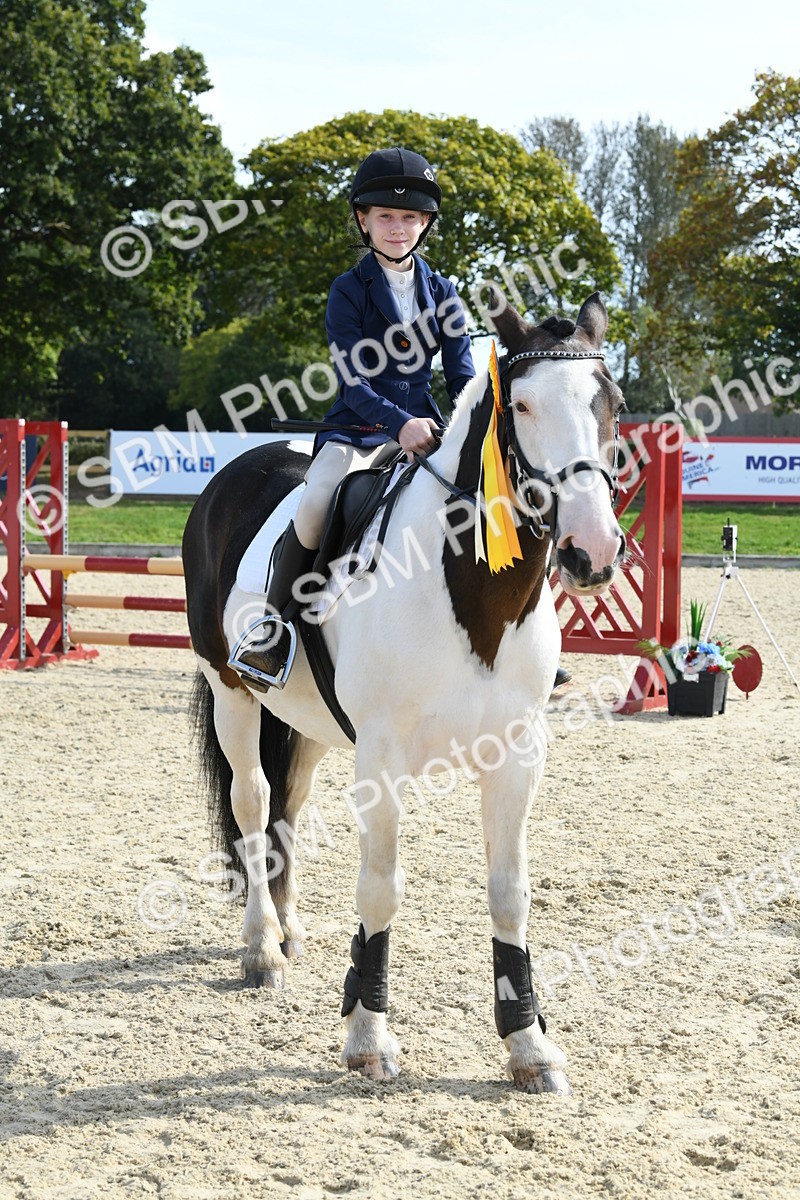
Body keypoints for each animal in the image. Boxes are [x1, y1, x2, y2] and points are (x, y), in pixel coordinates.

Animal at [182, 291, 626, 1095]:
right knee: (253, 801)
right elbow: (381, 888)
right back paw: (262, 947)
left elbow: (510, 892)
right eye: (521, 404)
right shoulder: (381, 759)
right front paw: (367, 1036)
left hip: (311, 725)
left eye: (611, 403)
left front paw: (528, 1045)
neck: (472, 596)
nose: (593, 550)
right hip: (232, 692)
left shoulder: (518, 755)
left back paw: (289, 932)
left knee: (289, 801)